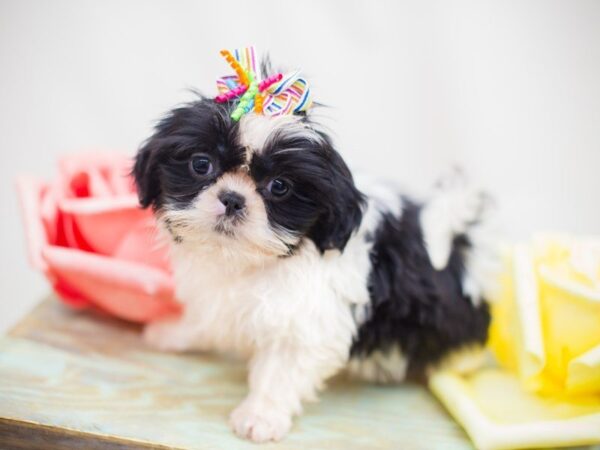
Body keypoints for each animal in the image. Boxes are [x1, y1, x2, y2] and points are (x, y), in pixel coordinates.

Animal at [132, 51, 496, 442]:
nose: (232, 199)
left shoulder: (305, 320)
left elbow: (281, 369)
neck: (249, 261)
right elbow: (205, 318)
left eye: (280, 186)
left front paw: (261, 415)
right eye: (201, 164)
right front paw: (176, 332)